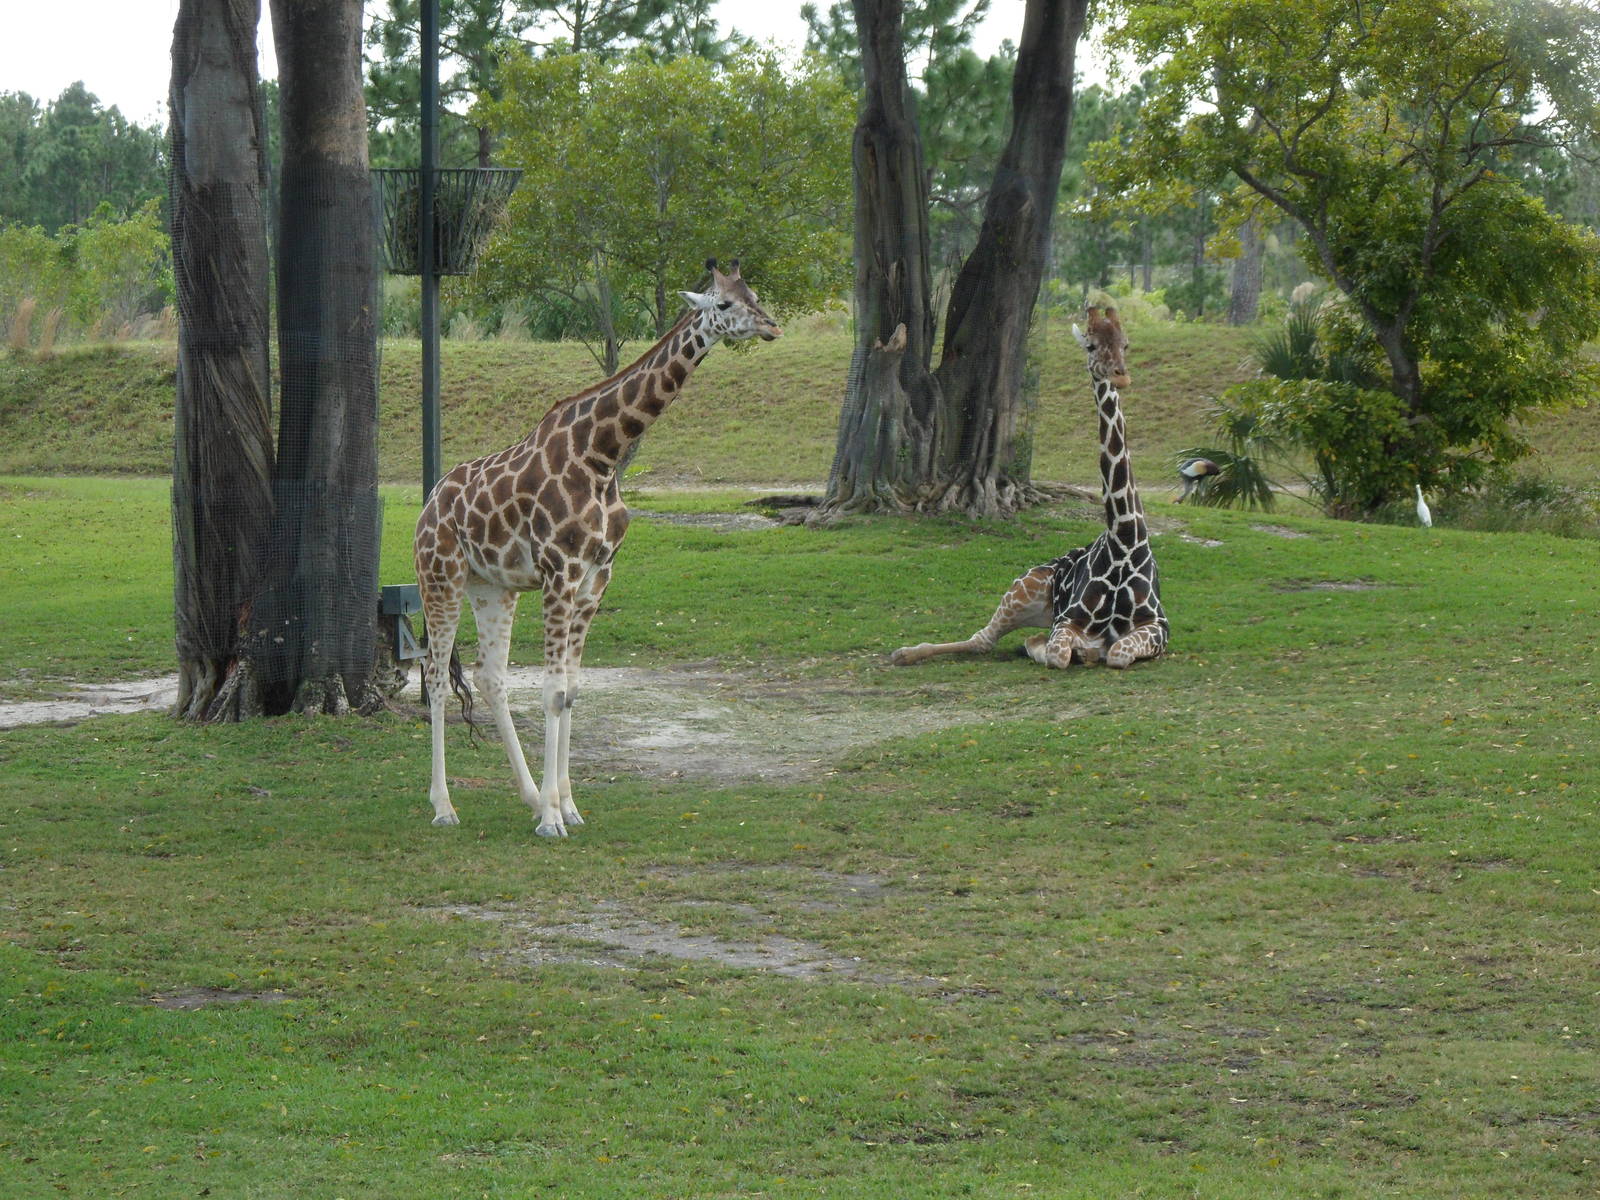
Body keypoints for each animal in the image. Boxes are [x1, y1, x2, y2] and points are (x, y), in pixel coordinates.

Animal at [414, 259, 781, 836]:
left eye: (755, 295)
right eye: (723, 304)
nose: (771, 326)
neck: (602, 457)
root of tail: (428, 504)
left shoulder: (595, 578)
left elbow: (570, 691)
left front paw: (565, 807)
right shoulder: (560, 572)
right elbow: (551, 691)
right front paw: (551, 821)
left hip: (492, 587)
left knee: (490, 678)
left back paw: (526, 795)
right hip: (440, 577)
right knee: (433, 674)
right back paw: (444, 806)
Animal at [890, 306, 1169, 671]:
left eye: (1126, 344)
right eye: (1091, 346)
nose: (1120, 376)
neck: (1124, 543)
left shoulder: (1159, 626)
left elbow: (1118, 652)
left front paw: (1090, 651)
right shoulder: (1066, 621)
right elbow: (1059, 654)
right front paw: (1079, 651)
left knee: (1021, 639)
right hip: (1022, 589)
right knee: (984, 639)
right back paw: (903, 653)